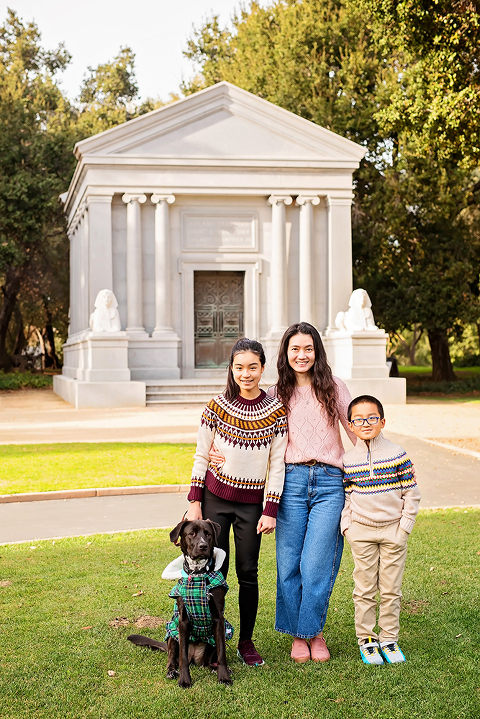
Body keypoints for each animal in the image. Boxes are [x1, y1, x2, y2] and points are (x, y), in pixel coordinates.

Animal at [127, 520, 232, 688]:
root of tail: (195, 657)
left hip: (211, 644)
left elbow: (222, 653)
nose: (203, 546)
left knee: (208, 663)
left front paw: (224, 677)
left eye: (208, 534)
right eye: (192, 533)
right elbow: (182, 657)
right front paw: (184, 679)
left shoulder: (218, 619)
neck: (197, 574)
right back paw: (171, 671)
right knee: (173, 659)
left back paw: (215, 668)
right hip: (172, 633)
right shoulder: (182, 621)